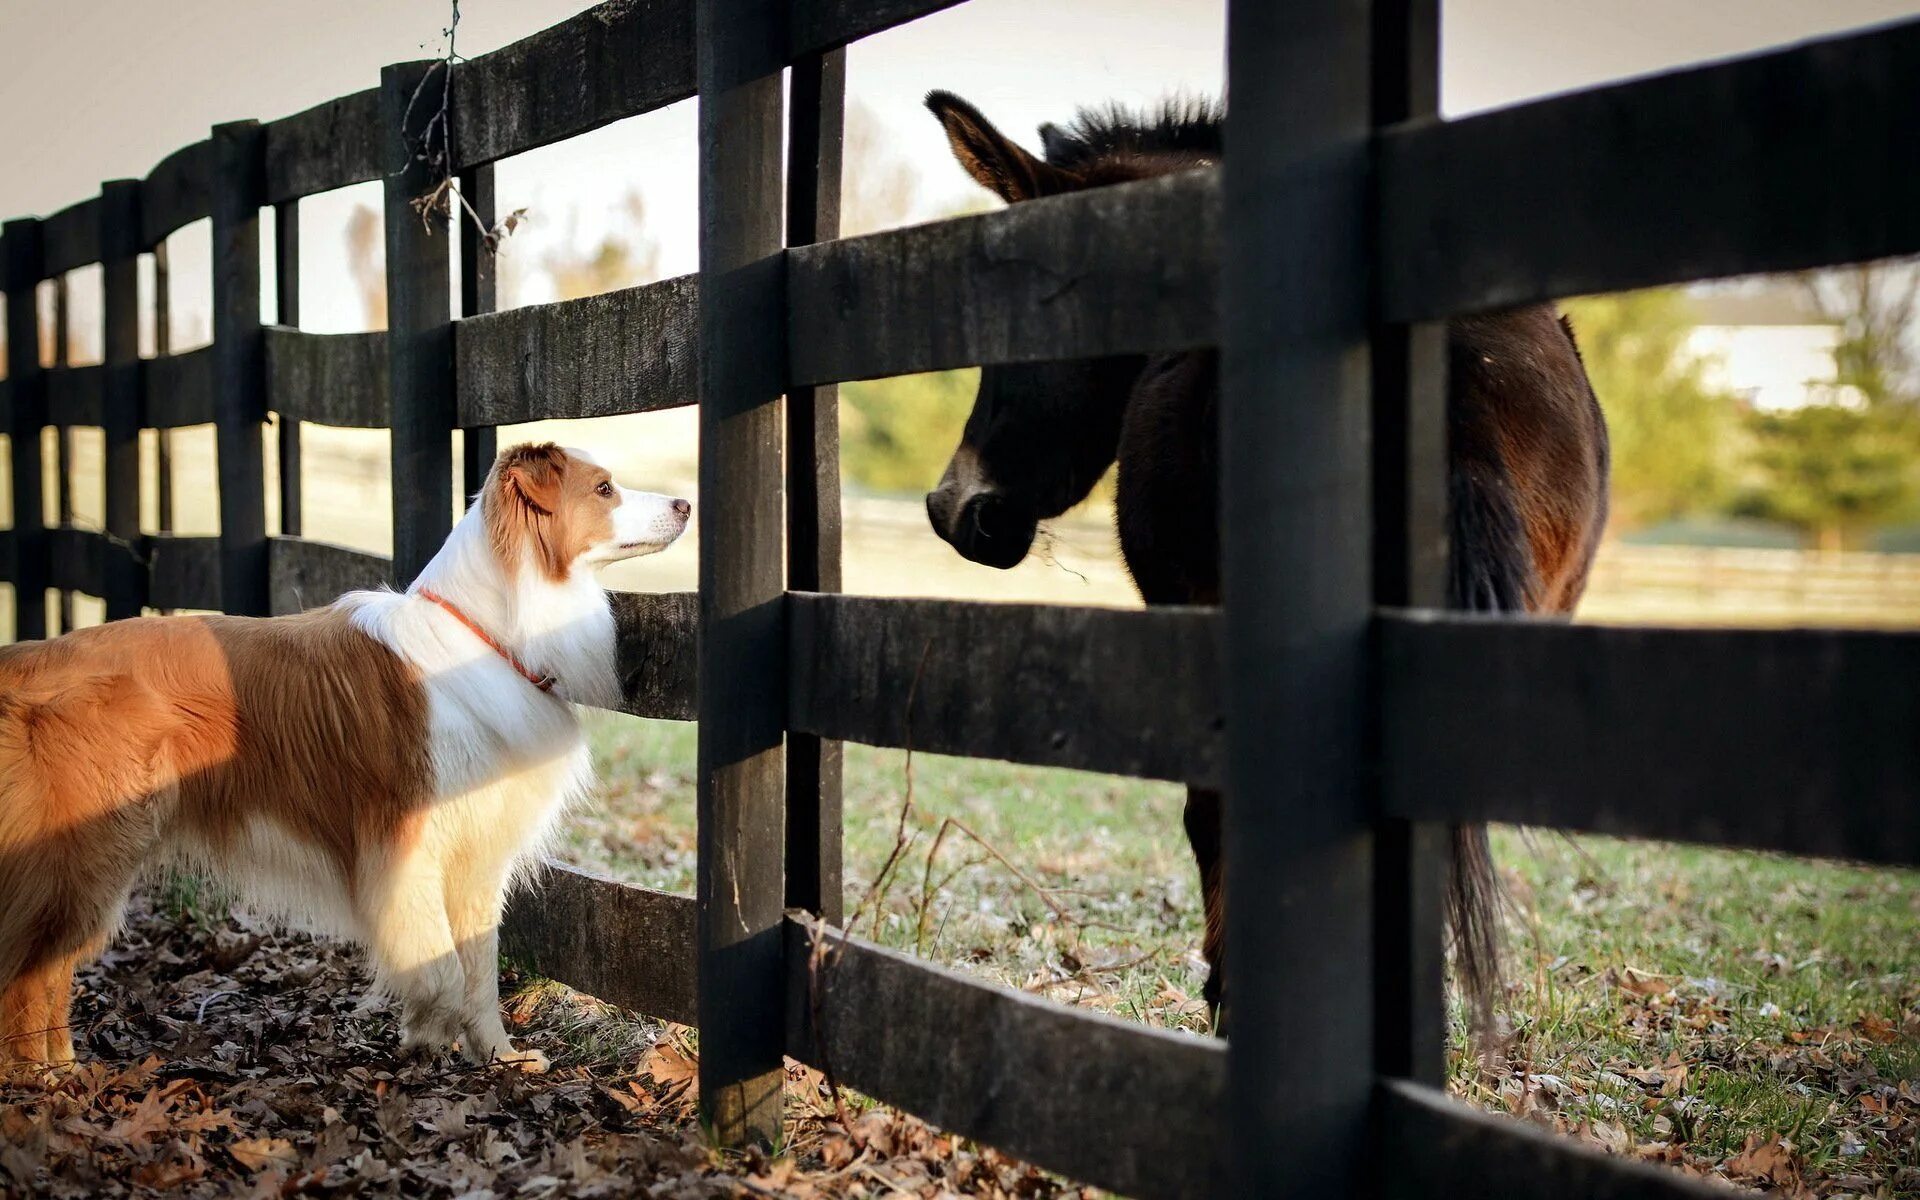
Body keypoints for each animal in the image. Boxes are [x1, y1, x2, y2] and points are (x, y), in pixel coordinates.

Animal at [0, 445, 691, 1075]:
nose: (686, 504)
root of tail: (29, 661)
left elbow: (478, 968)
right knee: (31, 979)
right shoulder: (405, 842)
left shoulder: (474, 850)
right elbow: (441, 966)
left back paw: (60, 1074)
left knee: (45, 976)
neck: (490, 635)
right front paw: (426, 1031)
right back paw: (45, 1088)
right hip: (88, 857)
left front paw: (496, 1054)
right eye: (603, 488)